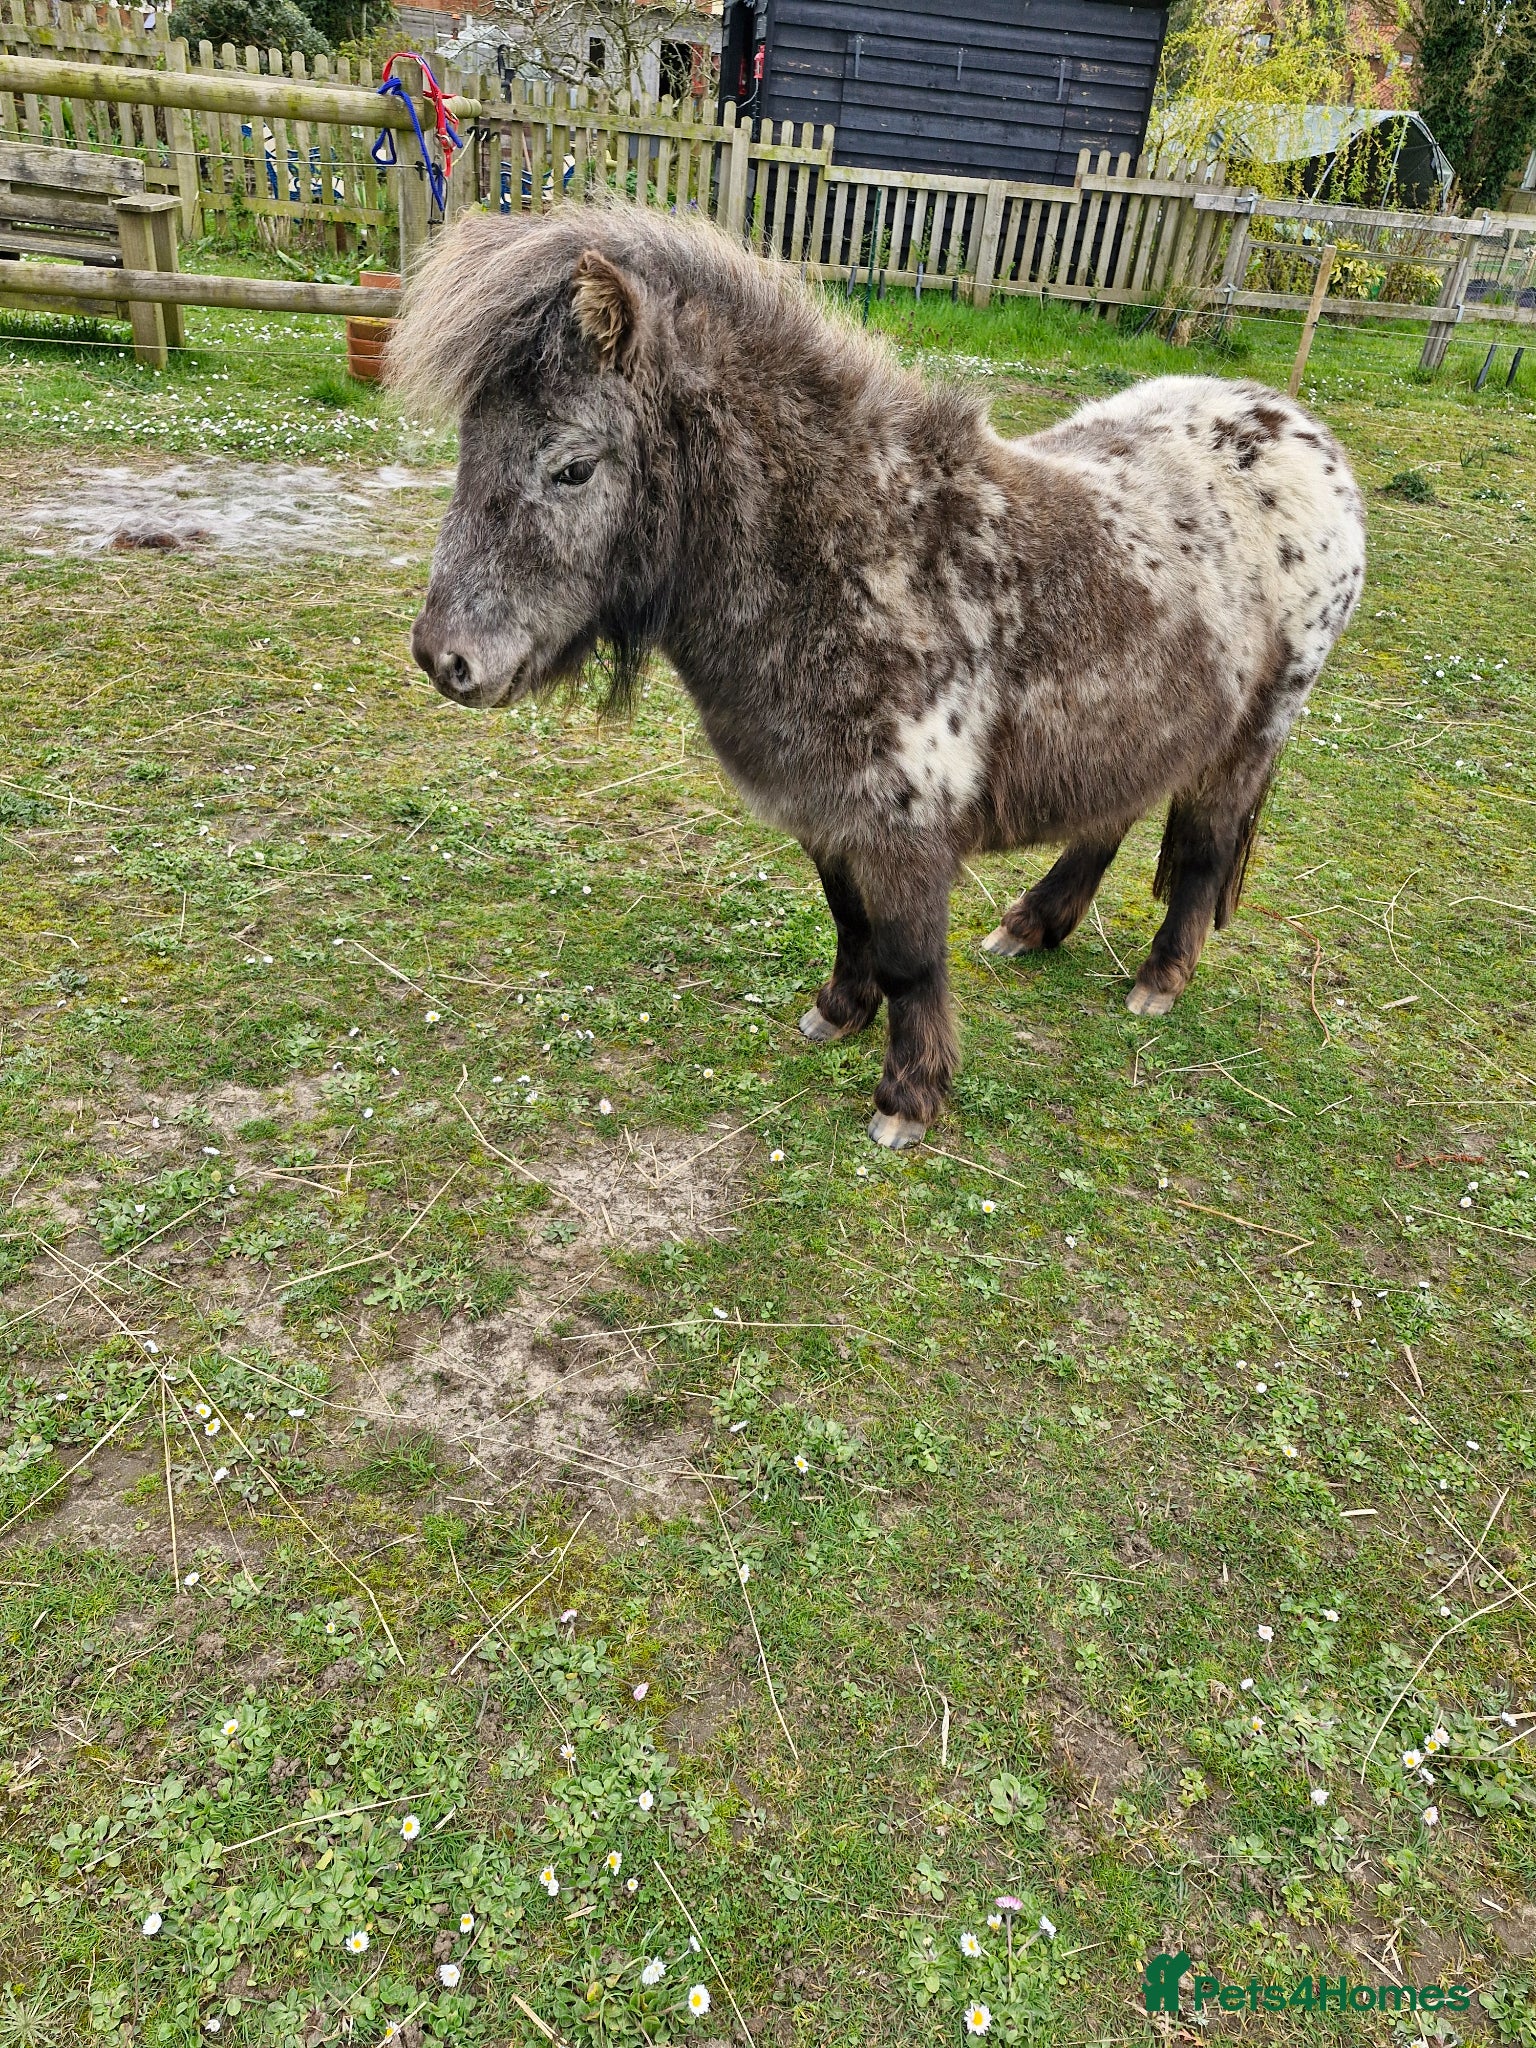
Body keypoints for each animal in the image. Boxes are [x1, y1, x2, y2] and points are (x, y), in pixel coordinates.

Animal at [391, 207, 1366, 1148]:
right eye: (470, 447)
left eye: (572, 467)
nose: (446, 659)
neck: (856, 560)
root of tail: (1304, 434)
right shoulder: (828, 816)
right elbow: (848, 920)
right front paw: (837, 1014)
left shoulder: (904, 833)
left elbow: (908, 956)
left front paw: (909, 1097)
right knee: (1110, 814)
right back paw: (1033, 924)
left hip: (1250, 735)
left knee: (1204, 847)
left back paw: (1160, 979)